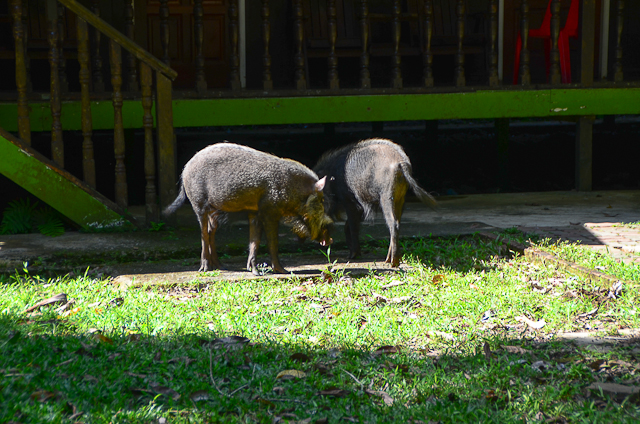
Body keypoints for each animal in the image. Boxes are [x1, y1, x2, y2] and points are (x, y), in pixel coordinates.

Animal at [165, 142, 332, 274]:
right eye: (322, 200)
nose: (329, 239)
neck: (294, 190)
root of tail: (185, 168)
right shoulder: (270, 211)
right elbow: (272, 241)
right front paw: (283, 271)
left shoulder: (255, 212)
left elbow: (255, 241)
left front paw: (255, 272)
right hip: (198, 203)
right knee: (204, 234)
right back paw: (205, 269)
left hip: (214, 211)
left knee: (211, 231)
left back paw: (220, 266)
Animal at [314, 137, 438, 266]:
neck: (332, 176)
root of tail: (402, 163)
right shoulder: (359, 207)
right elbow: (348, 226)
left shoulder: (350, 201)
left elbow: (352, 226)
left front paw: (353, 256)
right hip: (400, 198)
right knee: (397, 223)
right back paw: (389, 260)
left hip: (387, 196)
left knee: (393, 223)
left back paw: (393, 262)